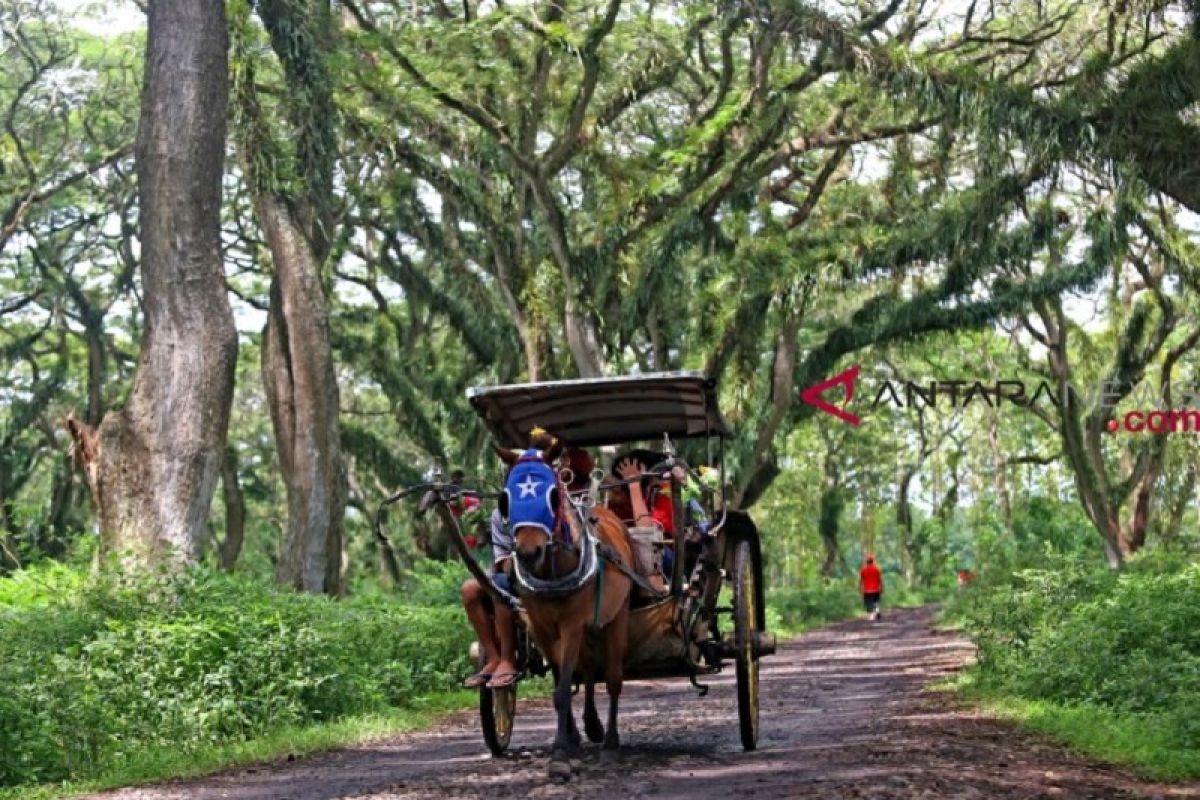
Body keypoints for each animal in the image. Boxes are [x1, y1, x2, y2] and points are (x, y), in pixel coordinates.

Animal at [494, 441, 633, 777]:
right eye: (505, 499)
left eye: (553, 495)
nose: (529, 552)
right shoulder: (540, 626)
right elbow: (562, 683)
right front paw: (568, 739)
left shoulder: (572, 624)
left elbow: (563, 690)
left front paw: (559, 755)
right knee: (589, 670)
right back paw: (591, 726)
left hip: (616, 617)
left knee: (612, 679)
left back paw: (610, 742)